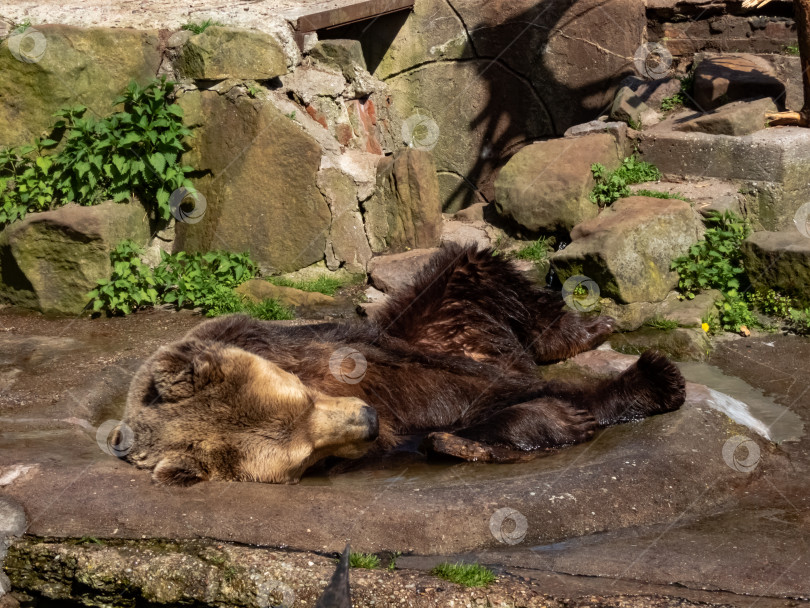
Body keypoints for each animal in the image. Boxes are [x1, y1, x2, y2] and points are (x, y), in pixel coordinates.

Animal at [117, 242, 684, 484]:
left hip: (446, 323)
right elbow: (480, 422)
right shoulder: (383, 441)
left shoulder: (263, 336)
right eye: (306, 452)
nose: (367, 418)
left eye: (301, 398)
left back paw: (591, 327)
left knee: (474, 267)